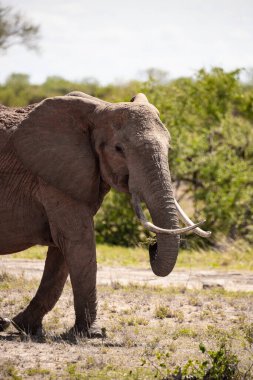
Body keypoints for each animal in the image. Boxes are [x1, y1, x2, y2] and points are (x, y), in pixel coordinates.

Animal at [0, 92, 210, 336]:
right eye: (119, 149)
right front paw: (92, 334)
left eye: (169, 146)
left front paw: (26, 327)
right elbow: (78, 241)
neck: (99, 110)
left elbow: (63, 250)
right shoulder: (52, 178)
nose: (152, 246)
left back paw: (3, 323)